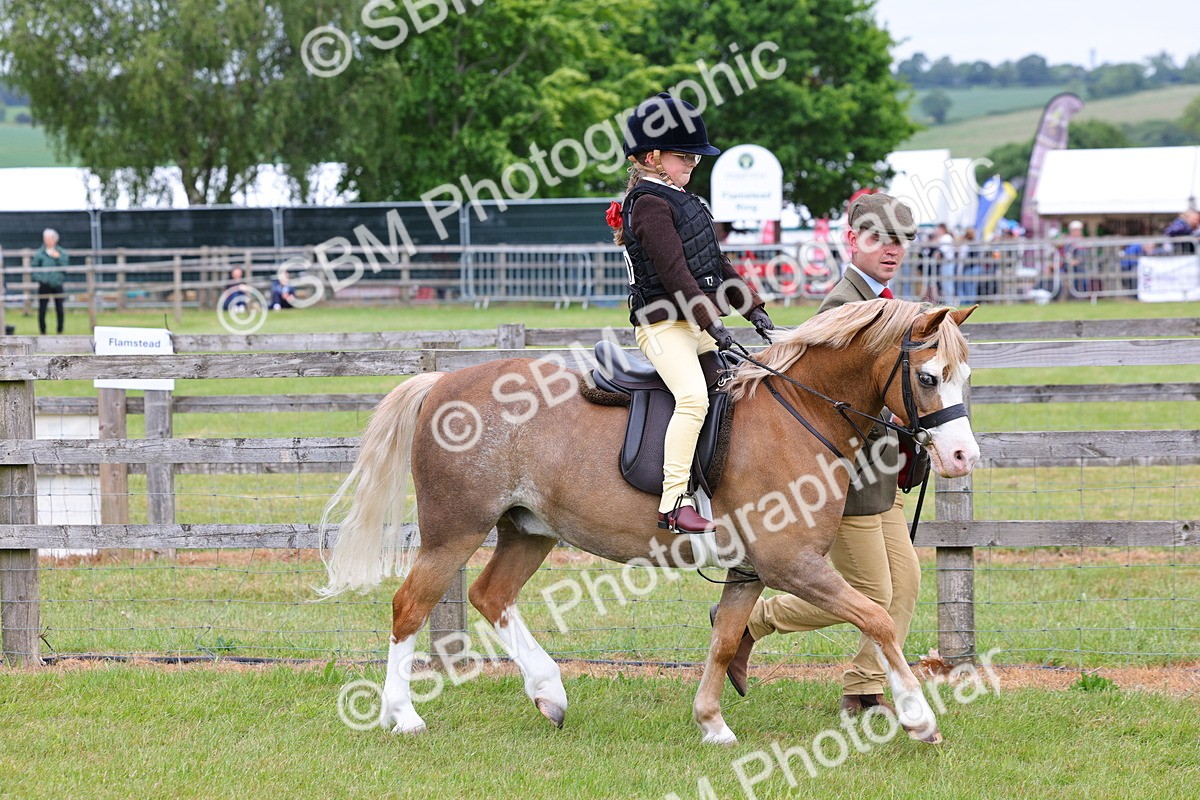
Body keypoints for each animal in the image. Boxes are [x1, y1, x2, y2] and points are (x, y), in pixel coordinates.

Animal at [319, 299, 980, 745]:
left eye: (965, 376)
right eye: (928, 377)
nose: (961, 456)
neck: (798, 410)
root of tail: (441, 381)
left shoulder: (748, 571)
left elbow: (724, 639)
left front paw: (712, 723)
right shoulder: (792, 565)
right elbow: (877, 618)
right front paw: (918, 717)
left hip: (528, 530)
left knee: (491, 594)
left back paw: (548, 692)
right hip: (453, 532)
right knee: (410, 606)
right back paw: (404, 715)